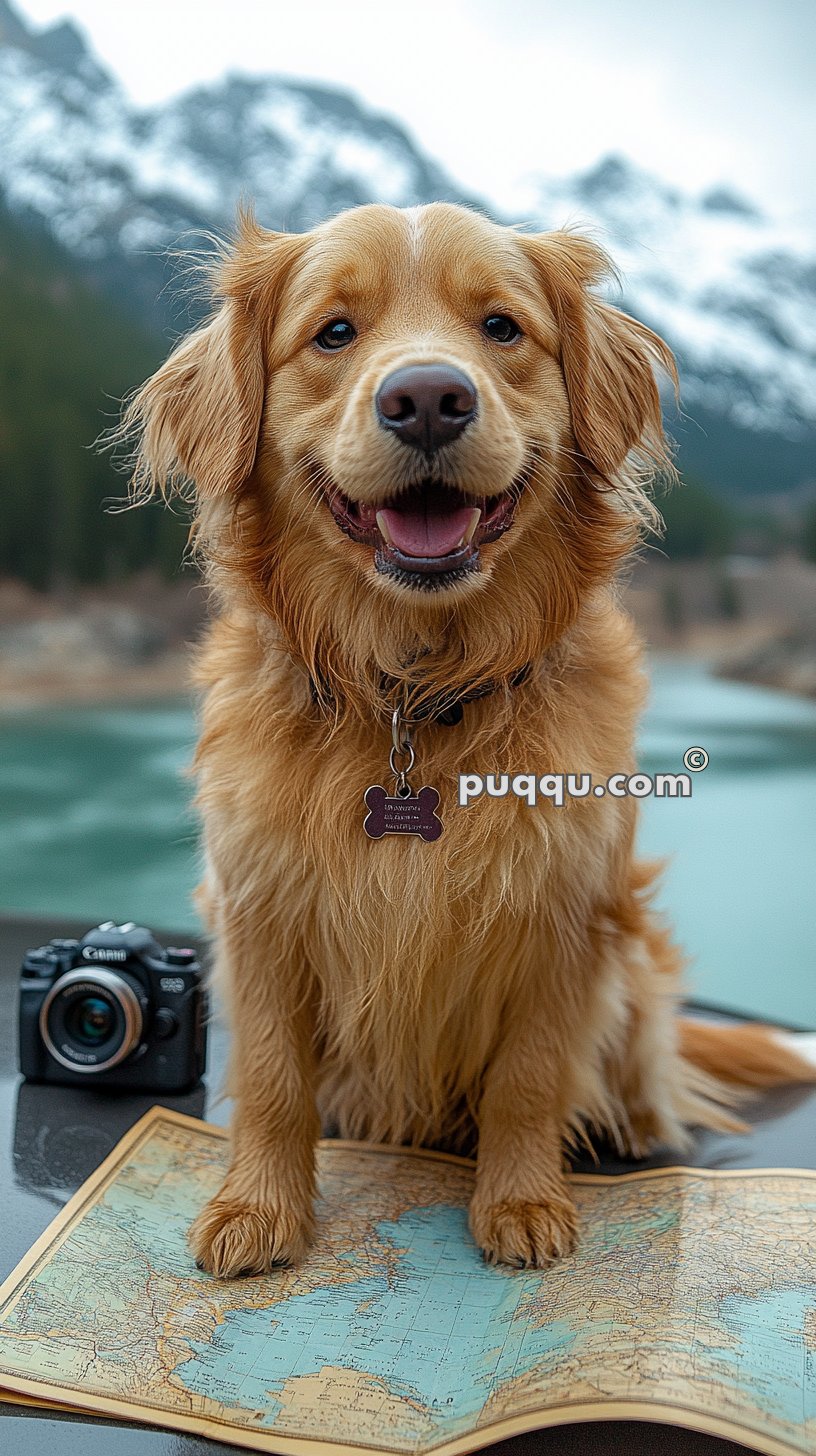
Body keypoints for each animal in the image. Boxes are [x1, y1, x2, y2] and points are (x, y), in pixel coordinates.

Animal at [120, 202, 816, 1275]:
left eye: (501, 328)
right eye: (333, 332)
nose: (427, 400)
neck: (415, 694)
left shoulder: (566, 920)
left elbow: (528, 1079)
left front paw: (522, 1202)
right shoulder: (260, 910)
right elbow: (273, 1080)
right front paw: (259, 1209)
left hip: (633, 967)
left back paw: (630, 1125)